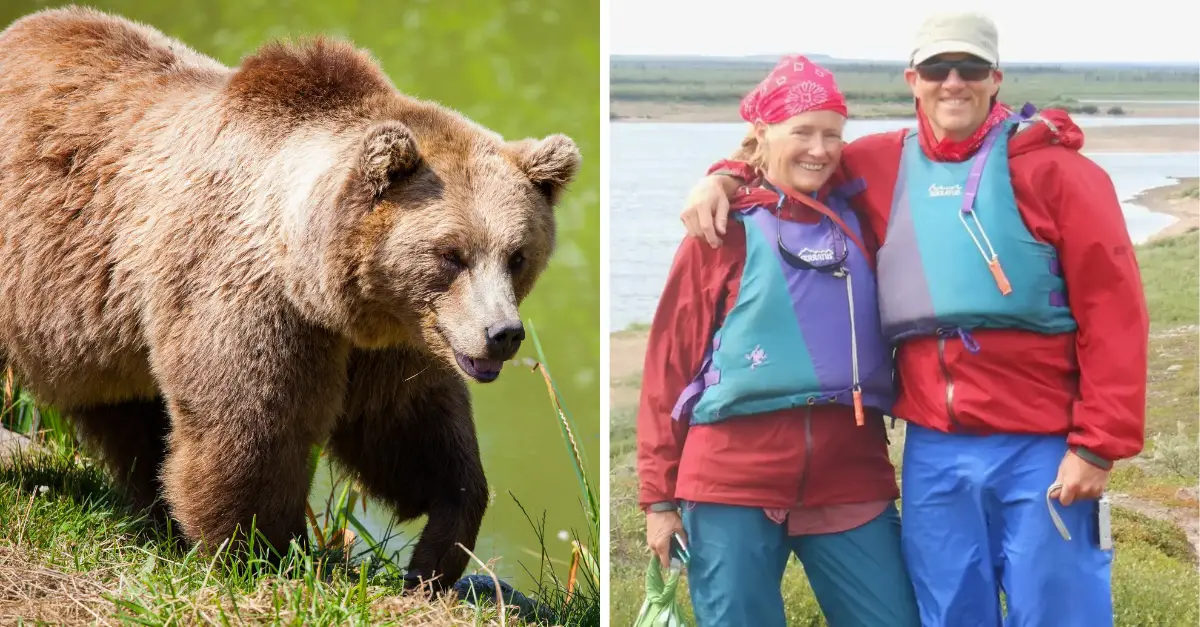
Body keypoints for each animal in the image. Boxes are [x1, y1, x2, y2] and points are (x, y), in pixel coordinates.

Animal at [0, 6, 580, 593]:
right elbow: (251, 428)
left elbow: (409, 429)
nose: (502, 333)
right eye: (451, 254)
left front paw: (436, 552)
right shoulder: (247, 296)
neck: (316, 279)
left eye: (517, 255)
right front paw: (264, 553)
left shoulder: (390, 338)